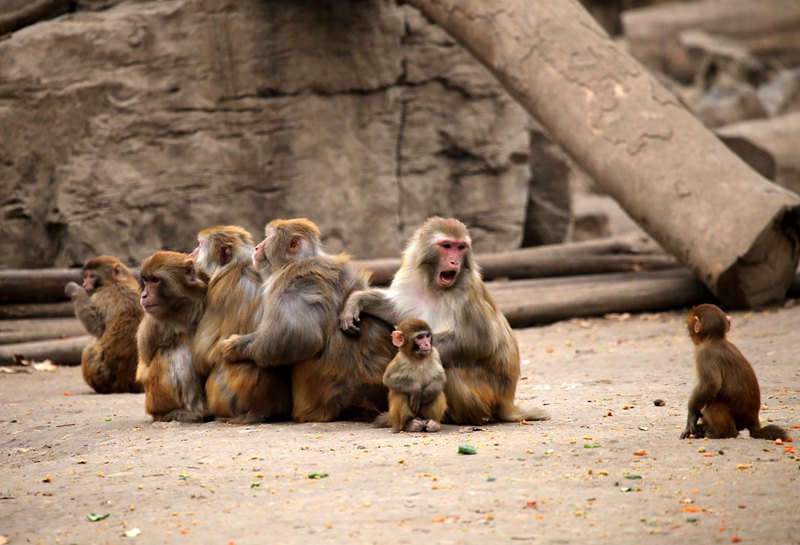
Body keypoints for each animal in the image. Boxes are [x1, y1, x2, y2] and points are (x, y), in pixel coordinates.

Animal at [65, 254, 143, 392]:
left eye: (91, 276)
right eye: (85, 276)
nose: (84, 283)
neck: (117, 281)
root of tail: (126, 384)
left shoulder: (101, 295)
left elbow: (97, 327)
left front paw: (75, 290)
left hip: (100, 374)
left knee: (88, 351)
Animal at [136, 250, 208, 420]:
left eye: (155, 280)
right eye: (146, 280)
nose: (144, 295)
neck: (181, 305)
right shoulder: (153, 323)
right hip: (154, 397)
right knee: (177, 348)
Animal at [220, 217, 396, 420]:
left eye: (269, 237)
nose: (257, 247)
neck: (299, 260)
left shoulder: (287, 285)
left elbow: (296, 337)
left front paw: (235, 346)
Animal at [338, 216, 552, 424]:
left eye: (461, 247)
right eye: (447, 246)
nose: (455, 262)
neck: (434, 286)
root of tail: (507, 402)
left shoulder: (466, 295)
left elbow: (478, 342)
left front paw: (399, 351)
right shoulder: (410, 279)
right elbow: (397, 310)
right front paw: (357, 301)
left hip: (486, 392)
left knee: (450, 368)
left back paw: (469, 419)